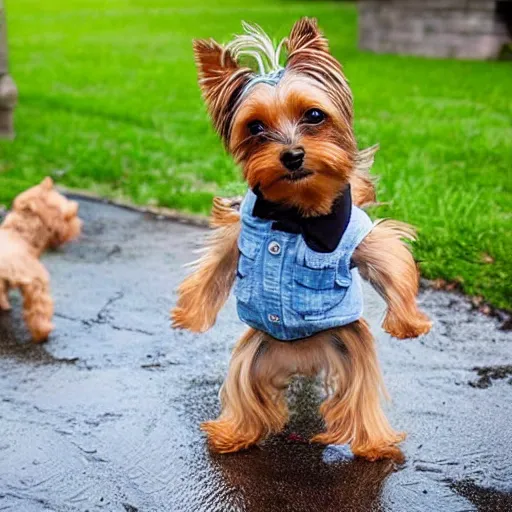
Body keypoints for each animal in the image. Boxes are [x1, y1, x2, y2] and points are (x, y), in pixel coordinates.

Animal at [0, 178, 81, 342]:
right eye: (70, 214)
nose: (79, 225)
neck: (20, 235)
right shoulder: (36, 282)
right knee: (39, 313)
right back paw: (43, 333)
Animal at [173, 19, 432, 460]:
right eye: (255, 127)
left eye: (314, 115)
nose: (292, 155)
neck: (293, 214)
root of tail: (303, 361)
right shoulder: (240, 228)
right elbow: (213, 265)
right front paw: (188, 315)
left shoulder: (357, 235)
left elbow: (393, 264)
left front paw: (410, 324)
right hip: (254, 354)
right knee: (245, 392)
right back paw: (233, 434)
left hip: (349, 349)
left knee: (359, 398)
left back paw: (373, 443)